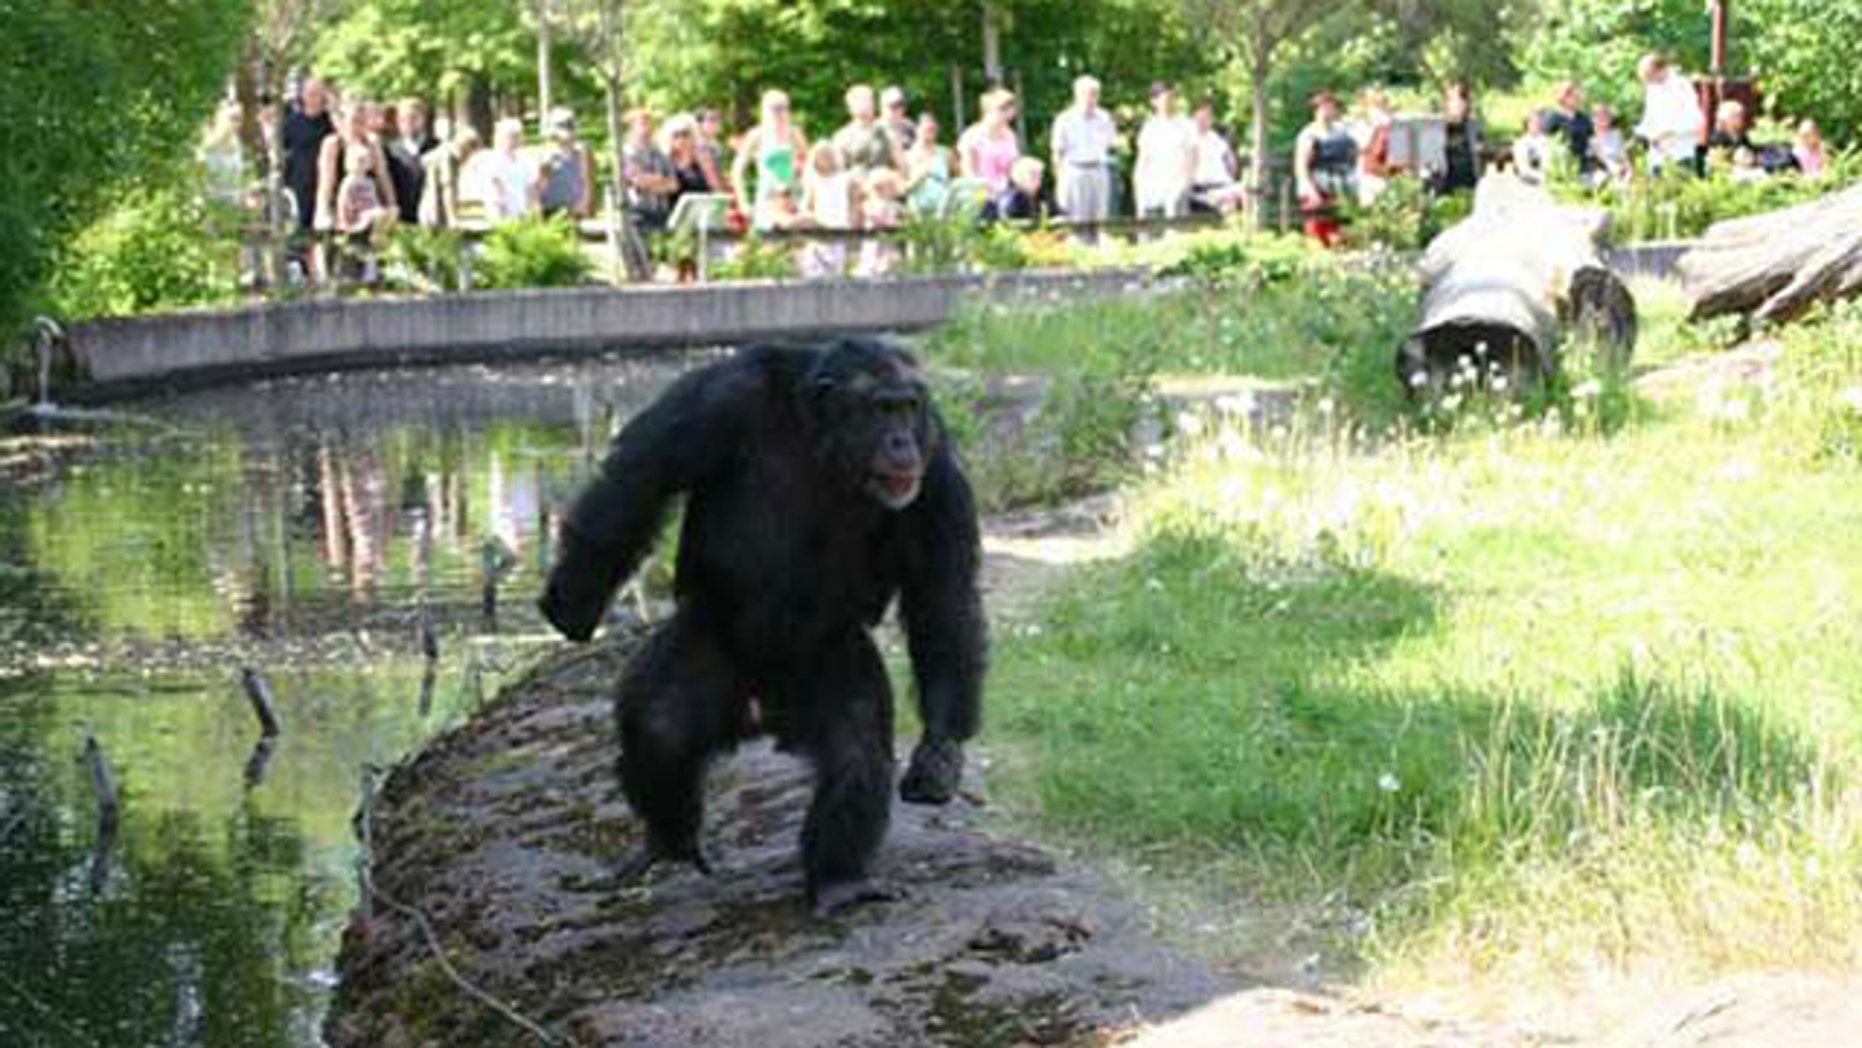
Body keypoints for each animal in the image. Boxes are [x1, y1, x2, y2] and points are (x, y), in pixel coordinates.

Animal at [543, 340, 990, 915]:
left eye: (909, 408)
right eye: (882, 409)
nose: (901, 440)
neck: (821, 444)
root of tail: (762, 712)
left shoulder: (938, 476)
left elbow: (942, 597)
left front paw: (939, 753)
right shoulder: (715, 402)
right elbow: (639, 482)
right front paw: (573, 603)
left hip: (829, 659)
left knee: (856, 755)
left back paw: (840, 882)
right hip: (708, 641)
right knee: (661, 729)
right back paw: (669, 841)